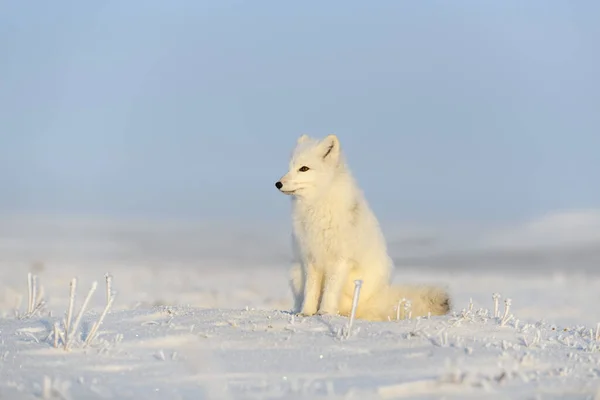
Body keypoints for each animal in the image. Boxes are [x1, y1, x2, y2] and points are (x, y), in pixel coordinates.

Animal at [276, 134, 450, 322]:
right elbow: (311, 291)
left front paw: (325, 313)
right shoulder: (310, 258)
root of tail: (377, 299)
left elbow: (329, 291)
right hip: (295, 271)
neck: (317, 205)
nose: (278, 183)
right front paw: (306, 312)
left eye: (304, 168)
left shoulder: (340, 259)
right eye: (290, 168)